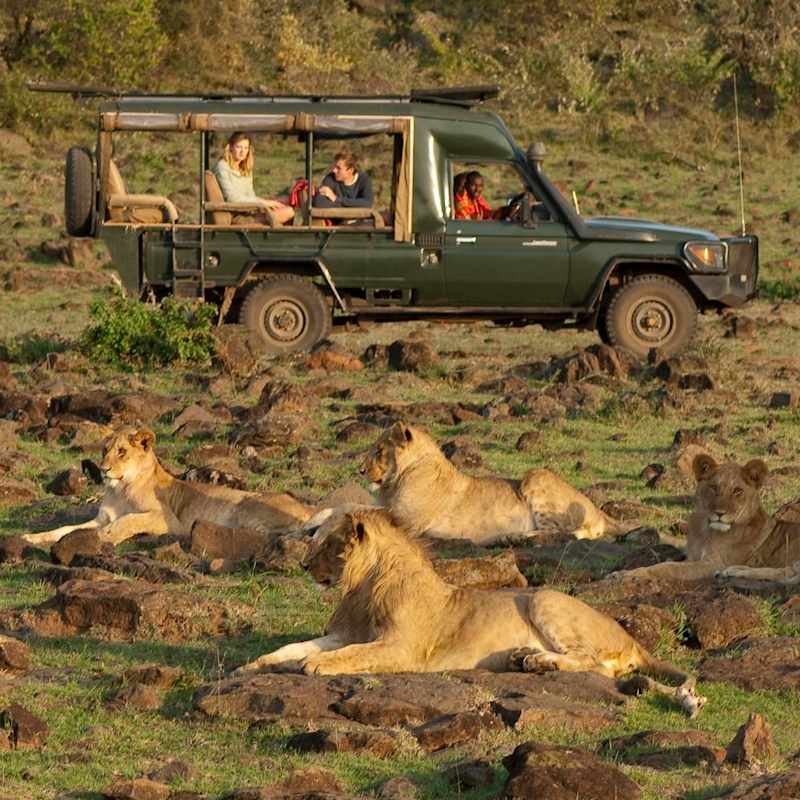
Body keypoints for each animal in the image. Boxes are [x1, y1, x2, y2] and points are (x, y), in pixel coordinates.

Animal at [22, 427, 313, 548]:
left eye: (121, 451)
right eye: (104, 450)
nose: (103, 469)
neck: (120, 489)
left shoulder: (168, 520)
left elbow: (129, 520)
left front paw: (107, 536)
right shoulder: (101, 517)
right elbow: (65, 529)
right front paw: (32, 537)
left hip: (245, 506)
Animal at [234, 508, 704, 716]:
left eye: (329, 543)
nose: (302, 566)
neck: (363, 585)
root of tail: (632, 639)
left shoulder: (401, 649)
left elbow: (345, 655)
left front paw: (315, 666)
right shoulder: (347, 632)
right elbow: (293, 646)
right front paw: (253, 666)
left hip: (545, 599)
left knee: (597, 665)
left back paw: (537, 661)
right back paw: (524, 659)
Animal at [358, 421, 621, 544]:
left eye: (379, 450)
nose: (360, 470)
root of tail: (598, 510)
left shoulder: (408, 523)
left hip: (536, 475)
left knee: (565, 532)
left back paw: (513, 537)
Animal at [615, 454, 800, 584]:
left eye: (737, 491)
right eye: (714, 488)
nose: (720, 513)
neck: (706, 532)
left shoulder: (713, 563)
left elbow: (668, 568)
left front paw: (629, 574)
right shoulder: (693, 557)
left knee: (787, 573)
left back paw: (730, 572)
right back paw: (731, 571)